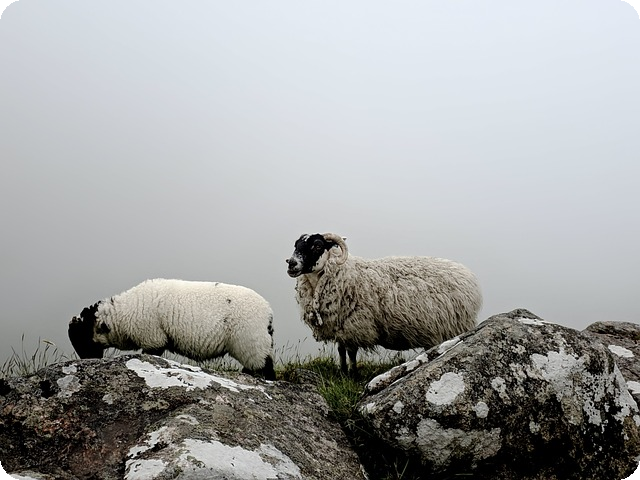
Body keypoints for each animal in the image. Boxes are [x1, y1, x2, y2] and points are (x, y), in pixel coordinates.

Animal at [68, 278, 276, 380]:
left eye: (81, 337)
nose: (87, 360)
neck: (123, 315)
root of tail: (269, 314)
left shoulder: (153, 338)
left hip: (250, 341)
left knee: (264, 366)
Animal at [286, 233, 482, 374]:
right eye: (296, 245)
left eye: (317, 245)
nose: (291, 263)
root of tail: (467, 276)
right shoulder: (340, 327)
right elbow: (341, 351)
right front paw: (341, 372)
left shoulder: (355, 326)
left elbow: (351, 352)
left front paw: (353, 374)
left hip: (454, 326)